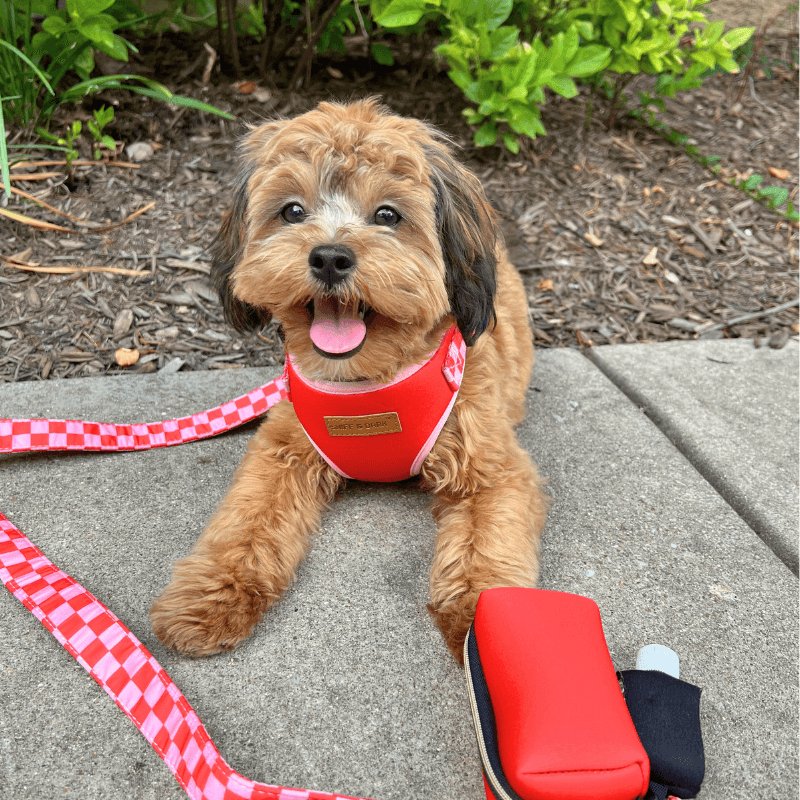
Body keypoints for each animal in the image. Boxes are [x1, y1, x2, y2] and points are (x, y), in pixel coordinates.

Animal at [149, 98, 548, 664]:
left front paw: (483, 624)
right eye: (293, 211)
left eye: (387, 215)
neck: (363, 385)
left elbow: (486, 550)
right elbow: (244, 524)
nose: (330, 257)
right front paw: (209, 595)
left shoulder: (493, 474)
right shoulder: (282, 453)